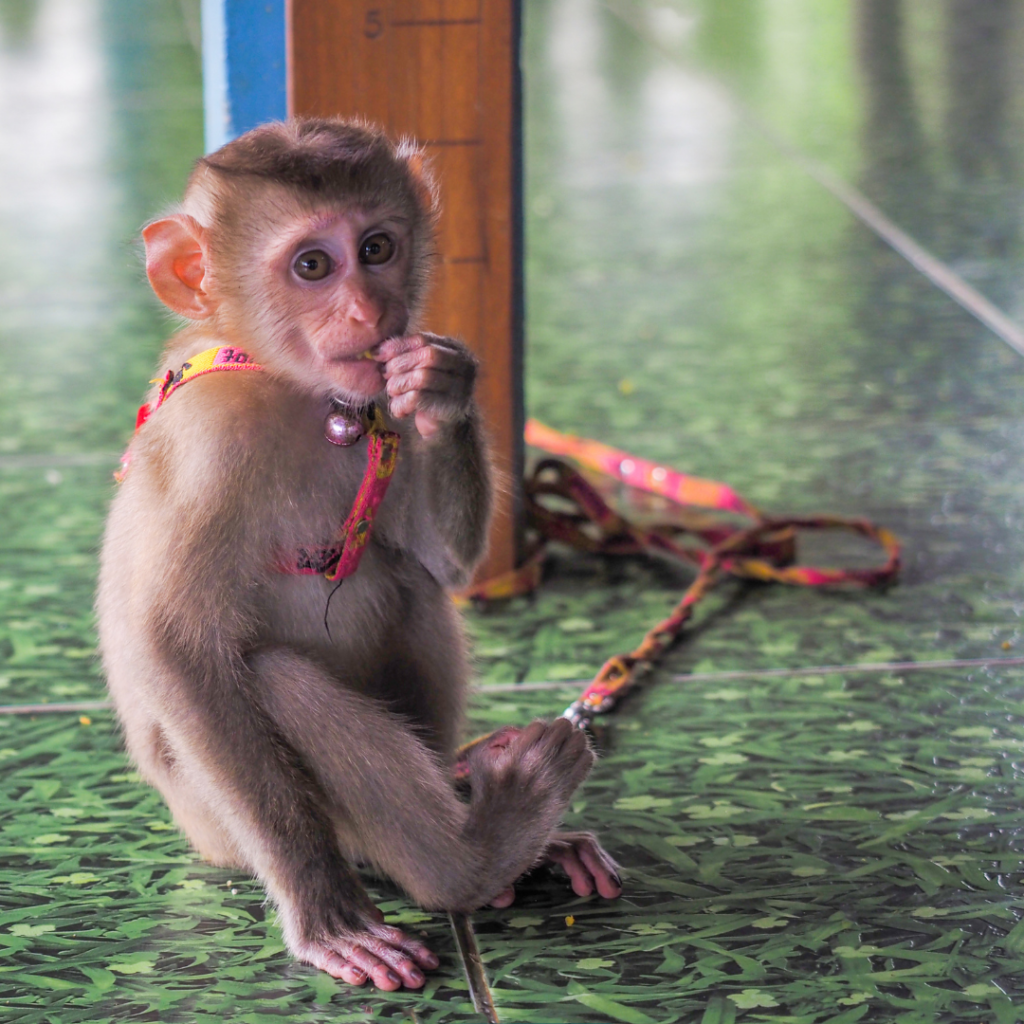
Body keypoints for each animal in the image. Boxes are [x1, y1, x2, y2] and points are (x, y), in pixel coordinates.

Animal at [97, 119, 614, 991]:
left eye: (377, 248)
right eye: (313, 265)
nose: (372, 309)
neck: (298, 392)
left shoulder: (383, 410)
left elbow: (447, 567)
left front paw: (442, 385)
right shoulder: (210, 443)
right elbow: (176, 651)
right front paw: (324, 908)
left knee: (408, 580)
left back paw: (488, 811)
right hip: (216, 823)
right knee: (276, 679)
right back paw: (475, 856)